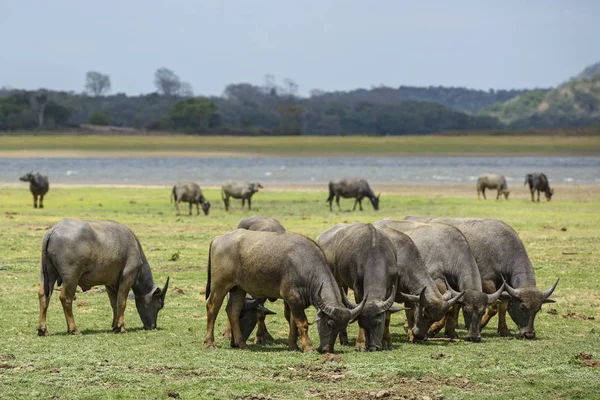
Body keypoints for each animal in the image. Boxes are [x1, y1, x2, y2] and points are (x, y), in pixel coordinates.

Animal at [37, 217, 169, 336]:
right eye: (160, 306)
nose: (152, 326)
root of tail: (53, 230)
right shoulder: (127, 278)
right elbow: (122, 302)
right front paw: (121, 327)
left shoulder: (110, 284)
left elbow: (114, 303)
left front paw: (115, 326)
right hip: (71, 277)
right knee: (66, 298)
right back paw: (73, 329)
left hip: (48, 274)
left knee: (44, 295)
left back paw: (43, 329)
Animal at [205, 228, 366, 354]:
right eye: (329, 324)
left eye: (342, 327)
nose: (327, 349)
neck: (305, 265)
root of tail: (217, 239)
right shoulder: (292, 297)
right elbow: (303, 323)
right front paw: (308, 347)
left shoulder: (294, 302)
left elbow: (293, 322)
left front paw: (293, 346)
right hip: (220, 285)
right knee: (212, 307)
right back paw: (210, 342)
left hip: (238, 289)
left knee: (233, 310)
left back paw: (241, 343)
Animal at [314, 223, 404, 352]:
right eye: (362, 323)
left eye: (378, 322)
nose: (372, 347)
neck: (375, 253)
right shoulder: (357, 288)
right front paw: (360, 344)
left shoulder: (392, 286)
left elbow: (387, 315)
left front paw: (387, 342)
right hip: (338, 280)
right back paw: (343, 340)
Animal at [372, 219, 504, 344]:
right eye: (466, 311)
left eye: (483, 311)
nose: (474, 337)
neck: (450, 253)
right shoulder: (436, 282)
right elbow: (448, 308)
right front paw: (431, 330)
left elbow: (453, 308)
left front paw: (451, 332)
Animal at [406, 217, 560, 340]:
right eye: (522, 307)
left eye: (538, 309)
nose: (529, 334)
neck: (501, 248)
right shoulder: (487, 282)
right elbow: (494, 306)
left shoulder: (503, 286)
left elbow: (503, 306)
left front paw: (504, 330)